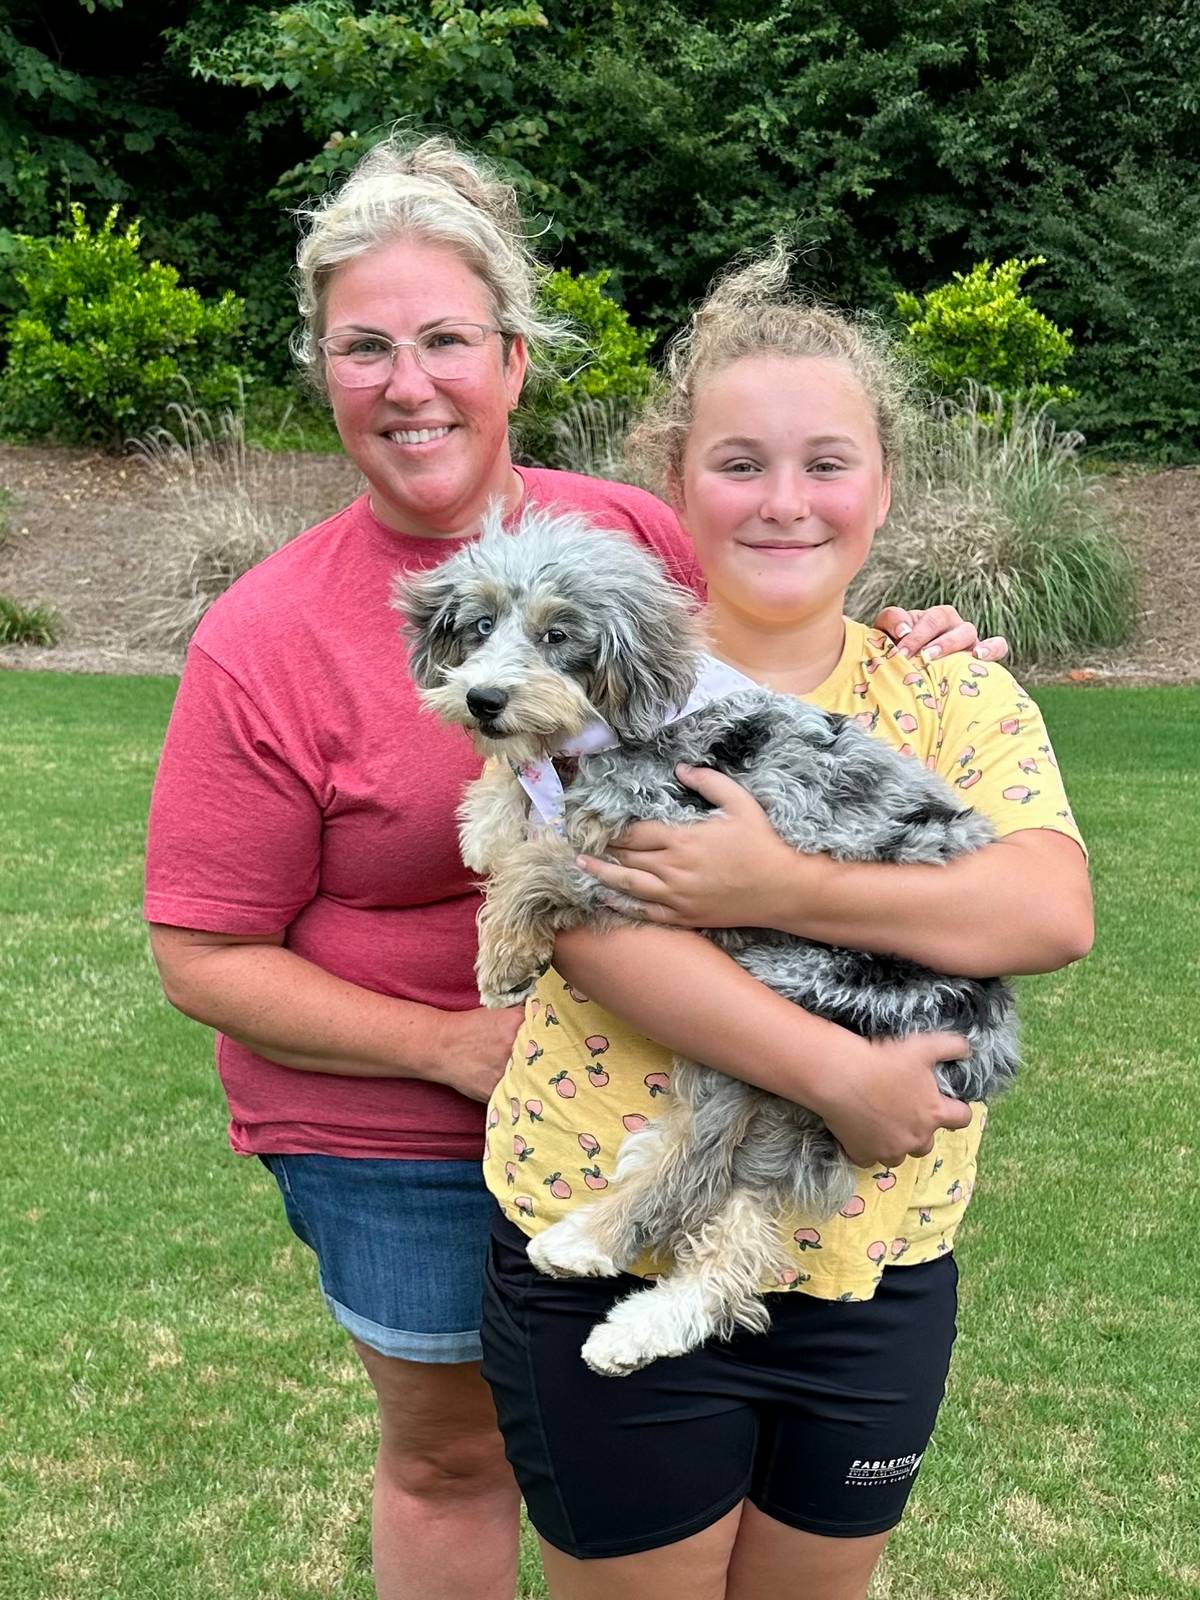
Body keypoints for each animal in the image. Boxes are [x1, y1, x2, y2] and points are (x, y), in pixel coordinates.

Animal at [395, 508, 1017, 1376]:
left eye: (558, 635)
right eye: (479, 625)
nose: (485, 699)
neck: (641, 715)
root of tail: (988, 1040)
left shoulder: (661, 844)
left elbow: (545, 859)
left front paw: (505, 950)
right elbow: (524, 801)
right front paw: (488, 817)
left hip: (791, 1002)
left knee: (702, 1169)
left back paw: (600, 1255)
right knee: (734, 1213)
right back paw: (622, 1288)